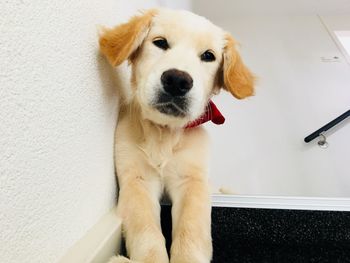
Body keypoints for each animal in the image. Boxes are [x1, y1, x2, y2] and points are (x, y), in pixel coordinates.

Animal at [98, 8, 254, 263]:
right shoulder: (136, 180)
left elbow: (191, 231)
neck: (163, 132)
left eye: (208, 56)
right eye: (160, 42)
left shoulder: (192, 181)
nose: (177, 80)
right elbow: (147, 234)